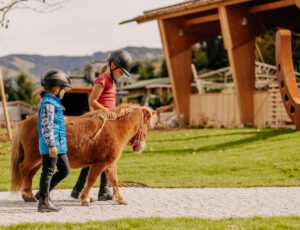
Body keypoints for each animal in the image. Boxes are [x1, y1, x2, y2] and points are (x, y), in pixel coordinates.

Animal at [11, 103, 157, 206]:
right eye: (147, 125)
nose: (140, 147)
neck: (113, 128)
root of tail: (26, 122)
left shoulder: (110, 163)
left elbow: (114, 180)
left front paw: (120, 199)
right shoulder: (100, 163)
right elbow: (92, 179)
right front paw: (85, 198)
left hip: (39, 160)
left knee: (30, 174)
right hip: (33, 157)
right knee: (24, 169)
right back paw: (28, 195)